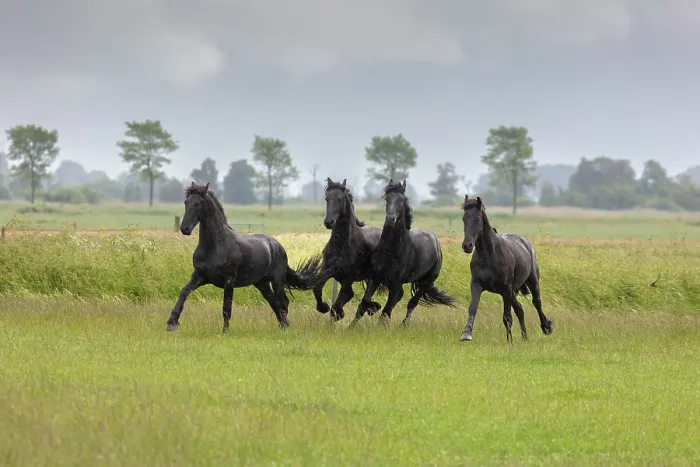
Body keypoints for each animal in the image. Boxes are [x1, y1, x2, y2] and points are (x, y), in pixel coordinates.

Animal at [165, 182, 324, 333]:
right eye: (186, 202)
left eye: (198, 203)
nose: (184, 229)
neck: (214, 246)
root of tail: (278, 246)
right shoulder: (199, 276)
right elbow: (184, 292)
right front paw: (171, 323)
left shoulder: (229, 279)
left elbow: (226, 308)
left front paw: (225, 332)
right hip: (261, 283)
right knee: (274, 302)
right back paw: (283, 326)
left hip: (277, 280)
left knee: (283, 302)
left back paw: (285, 327)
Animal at [312, 177, 384, 321]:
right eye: (326, 198)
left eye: (340, 198)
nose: (329, 222)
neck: (342, 244)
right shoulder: (327, 270)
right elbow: (317, 288)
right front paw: (323, 307)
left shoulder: (348, 278)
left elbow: (337, 306)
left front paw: (338, 314)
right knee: (359, 299)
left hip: (373, 279)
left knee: (363, 303)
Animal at [352, 179, 457, 325]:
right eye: (387, 198)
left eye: (401, 200)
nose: (390, 219)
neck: (391, 250)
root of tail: (435, 240)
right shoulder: (375, 278)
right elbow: (364, 303)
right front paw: (351, 326)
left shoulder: (395, 284)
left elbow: (386, 310)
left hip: (427, 281)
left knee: (412, 302)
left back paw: (404, 324)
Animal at [459, 194, 553, 343]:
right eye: (464, 219)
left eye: (478, 219)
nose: (467, 246)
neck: (489, 255)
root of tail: (526, 242)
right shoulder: (477, 284)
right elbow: (472, 308)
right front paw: (466, 334)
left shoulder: (505, 288)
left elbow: (507, 317)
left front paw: (509, 342)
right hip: (511, 292)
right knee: (520, 309)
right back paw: (524, 337)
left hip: (530, 282)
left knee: (536, 302)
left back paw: (546, 327)